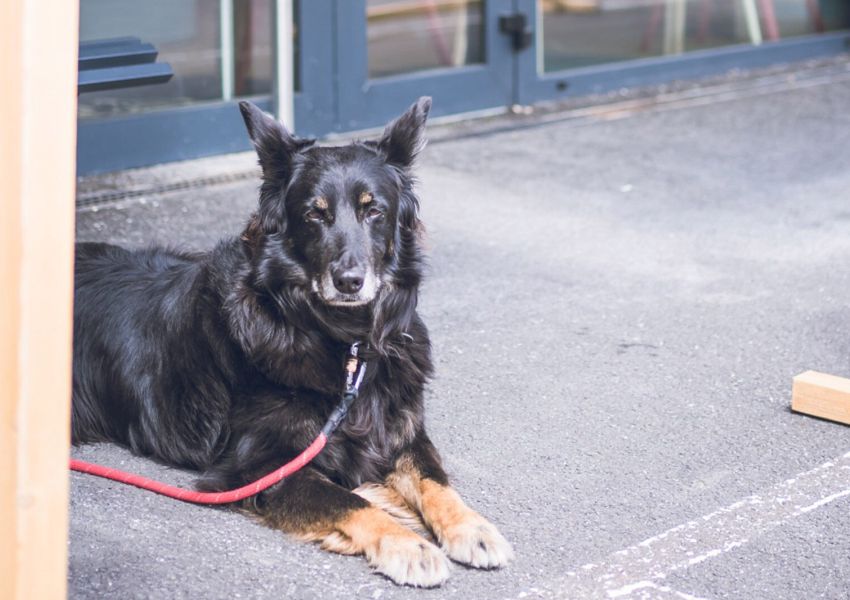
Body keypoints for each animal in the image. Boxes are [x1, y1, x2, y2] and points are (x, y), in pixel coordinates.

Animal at [73, 98, 510, 584]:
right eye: (315, 214)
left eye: (373, 210)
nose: (349, 281)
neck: (347, 344)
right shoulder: (261, 465)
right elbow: (348, 500)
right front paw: (406, 543)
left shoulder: (402, 427)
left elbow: (434, 478)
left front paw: (472, 527)